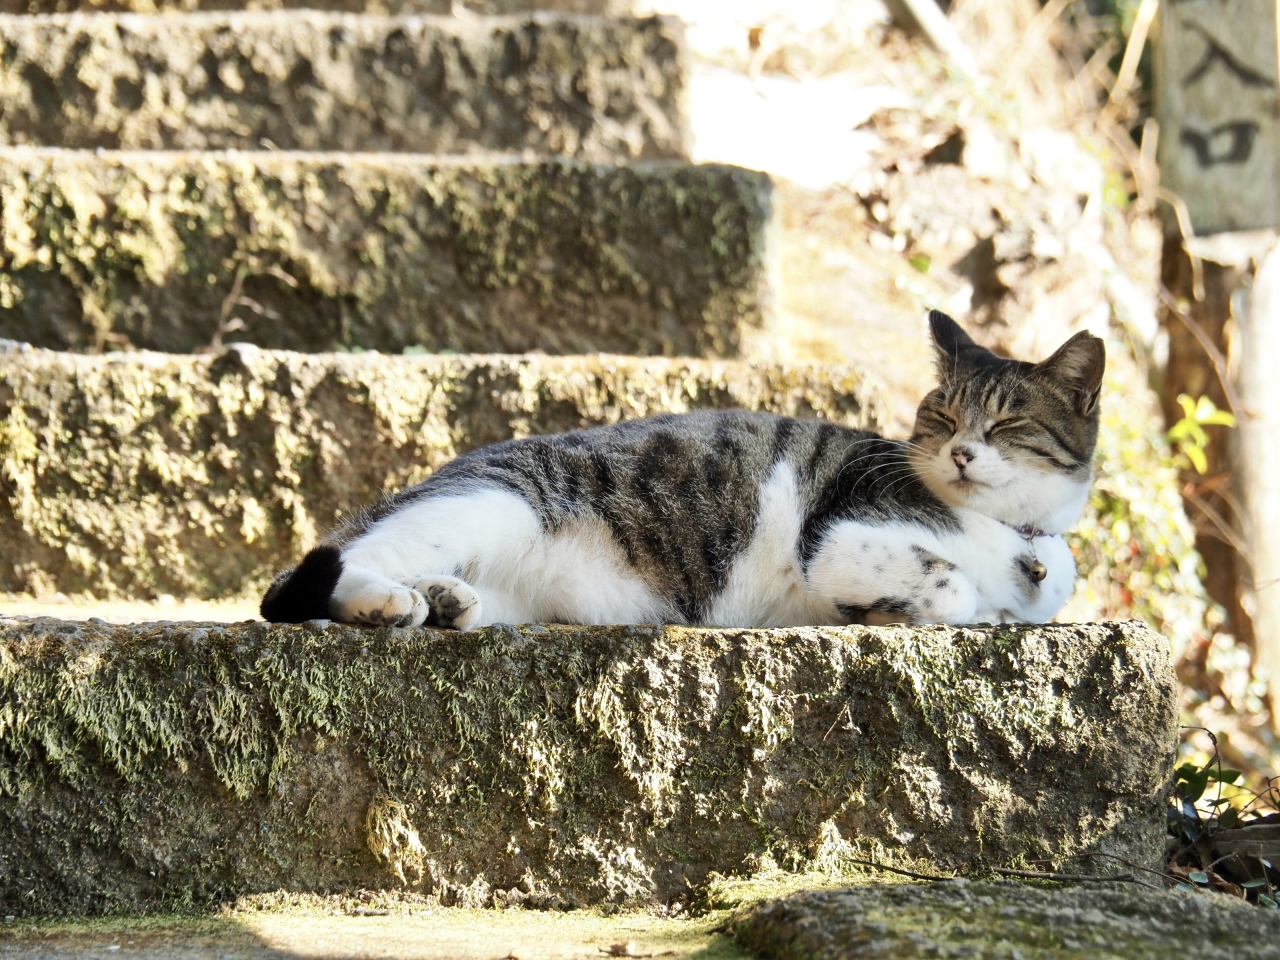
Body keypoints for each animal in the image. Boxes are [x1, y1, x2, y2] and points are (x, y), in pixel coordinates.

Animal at [257, 313, 1100, 632]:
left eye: (1007, 424)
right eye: (943, 417)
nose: (960, 452)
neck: (1012, 535)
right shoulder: (842, 535)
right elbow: (946, 583)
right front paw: (948, 609)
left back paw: (445, 601)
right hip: (492, 503)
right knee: (329, 570)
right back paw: (386, 603)